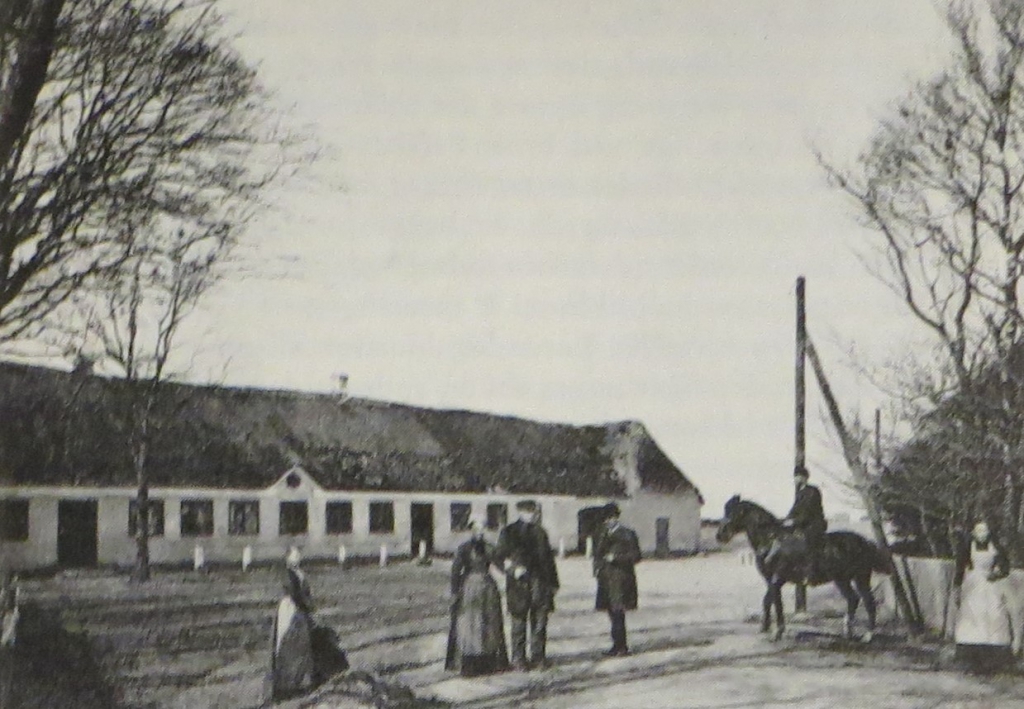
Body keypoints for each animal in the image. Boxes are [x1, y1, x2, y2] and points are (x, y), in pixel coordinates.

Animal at [716, 493, 892, 643]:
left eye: (734, 513)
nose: (720, 536)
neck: (771, 540)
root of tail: (864, 542)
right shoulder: (771, 581)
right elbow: (772, 602)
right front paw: (769, 629)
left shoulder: (777, 579)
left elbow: (772, 602)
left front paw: (774, 632)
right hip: (842, 579)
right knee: (853, 599)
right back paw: (848, 632)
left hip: (861, 578)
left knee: (869, 602)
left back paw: (868, 636)